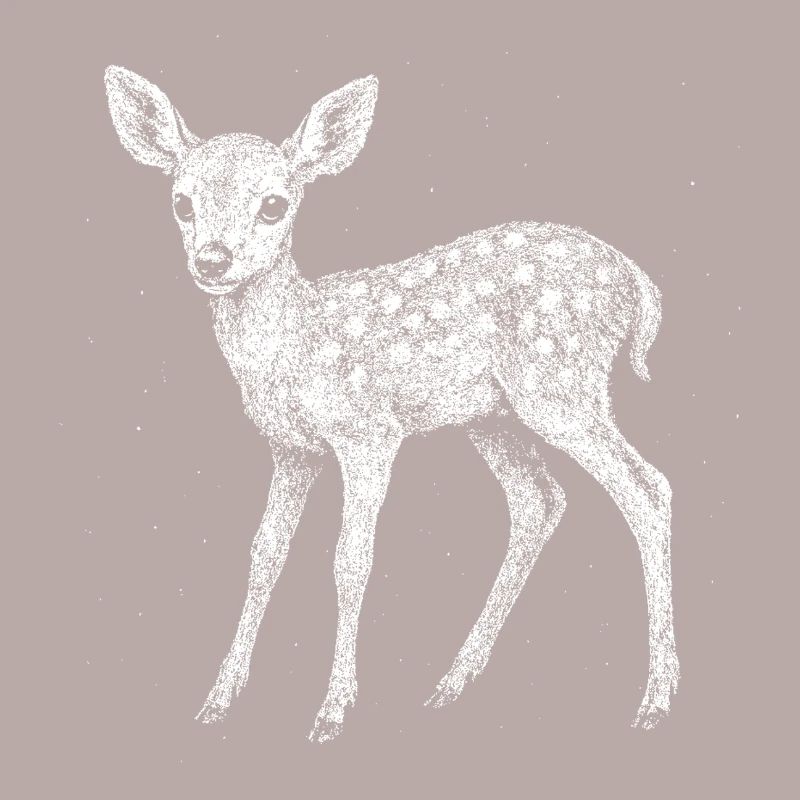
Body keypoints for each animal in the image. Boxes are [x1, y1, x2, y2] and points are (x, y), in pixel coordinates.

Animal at [104, 65, 680, 742]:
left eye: (274, 204)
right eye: (181, 202)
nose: (213, 260)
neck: (295, 344)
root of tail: (639, 284)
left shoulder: (368, 433)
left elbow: (350, 559)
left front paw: (333, 709)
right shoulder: (291, 449)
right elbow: (265, 552)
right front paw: (219, 698)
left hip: (561, 383)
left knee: (647, 487)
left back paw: (657, 699)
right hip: (494, 415)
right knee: (540, 500)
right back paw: (453, 681)